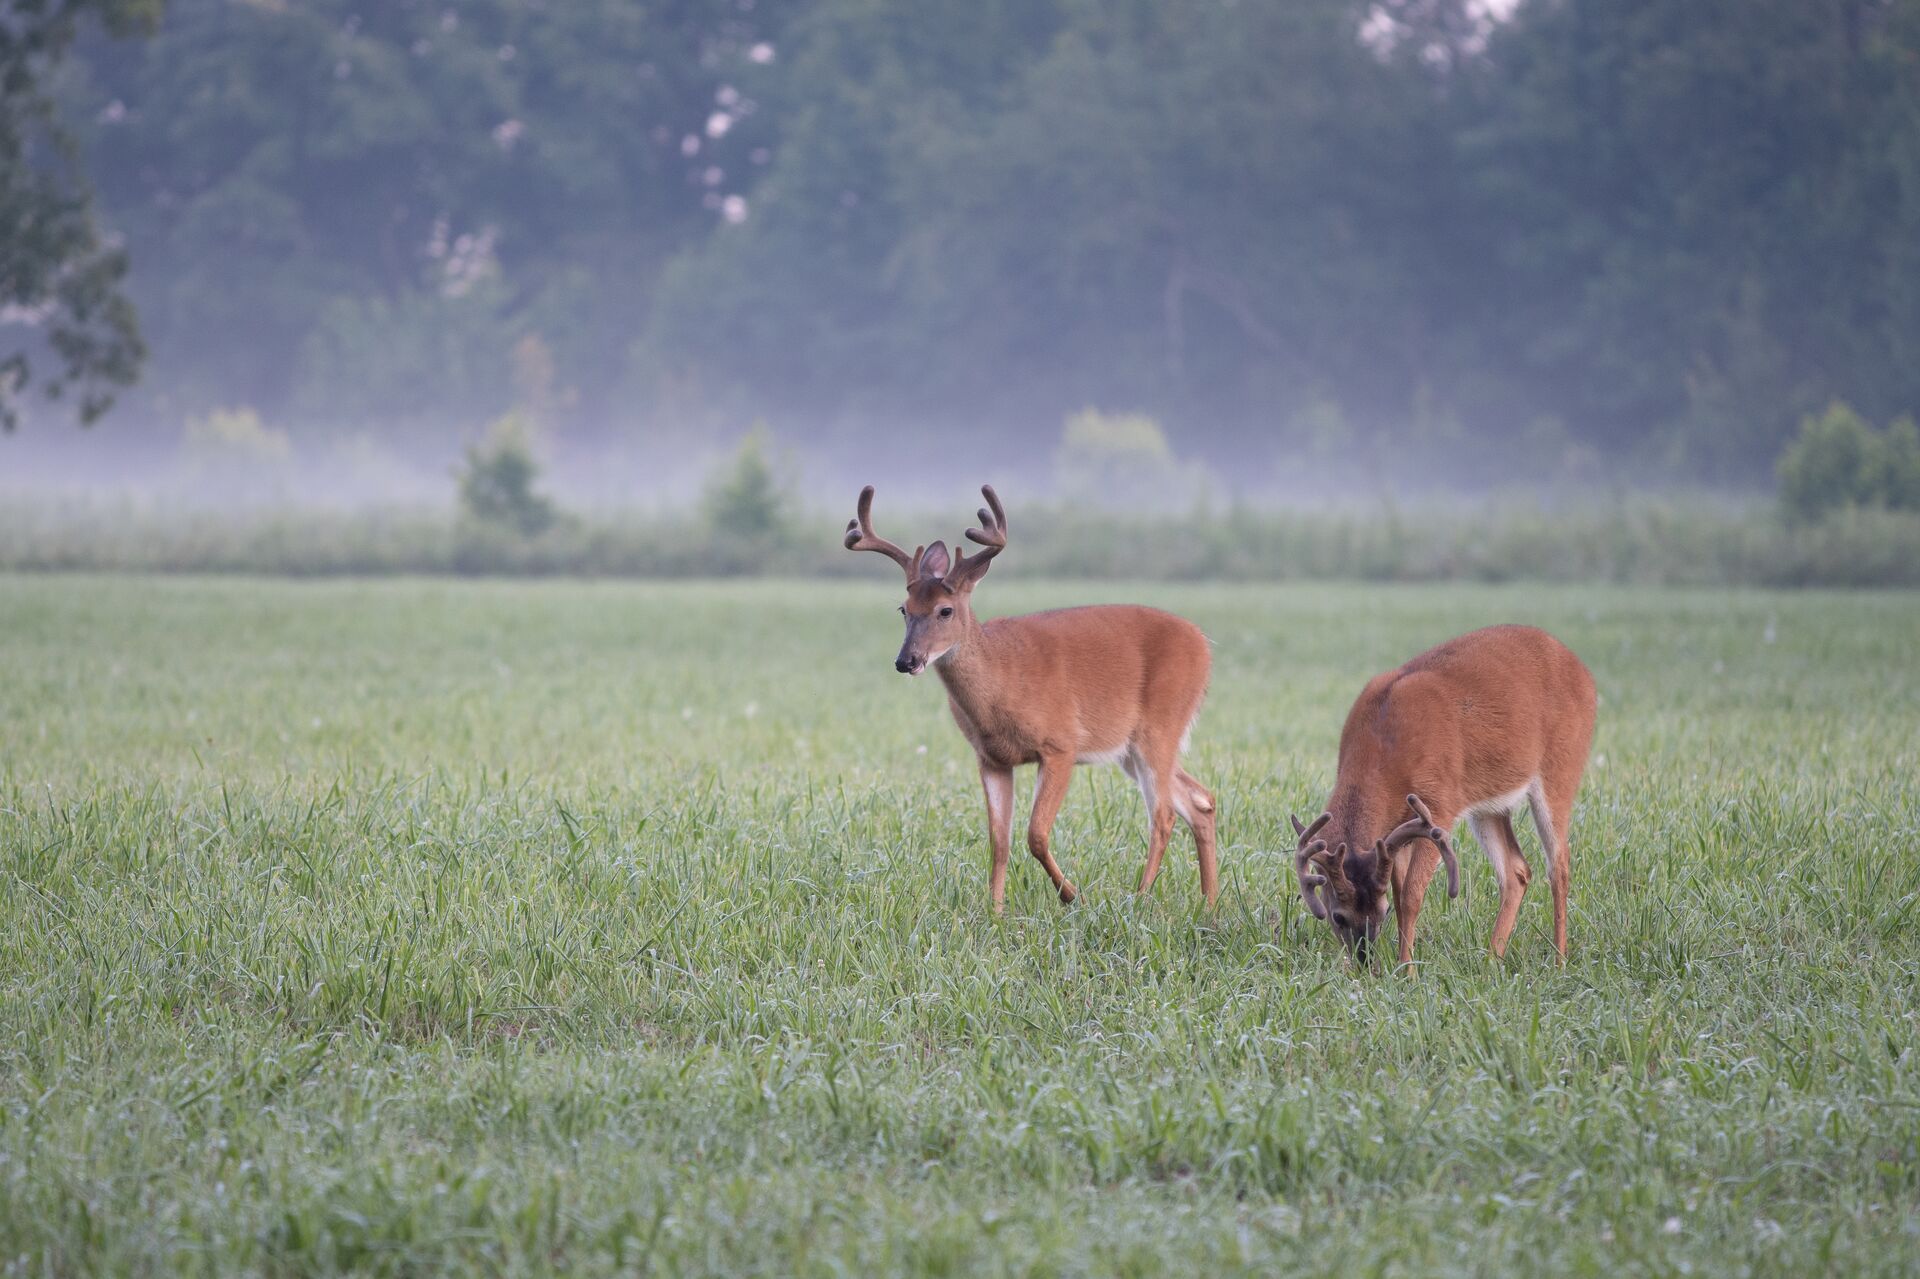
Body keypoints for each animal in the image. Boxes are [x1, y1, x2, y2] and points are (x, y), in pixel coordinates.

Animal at [848, 478, 1221, 906]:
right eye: (903, 609)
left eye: (945, 610)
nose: (906, 660)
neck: (1001, 683)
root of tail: (1204, 645)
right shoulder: (991, 758)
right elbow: (999, 841)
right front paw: (995, 909)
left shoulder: (1061, 744)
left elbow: (1036, 834)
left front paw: (1072, 896)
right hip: (1130, 751)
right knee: (1200, 801)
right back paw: (1210, 901)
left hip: (1160, 726)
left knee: (1163, 815)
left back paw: (1141, 897)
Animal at [1290, 622, 1605, 960]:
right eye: (1337, 916)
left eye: (1381, 913)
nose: (1364, 958)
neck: (1383, 748)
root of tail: (1584, 672)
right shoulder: (1396, 829)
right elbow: (1399, 892)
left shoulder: (1439, 806)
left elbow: (1411, 895)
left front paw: (1406, 968)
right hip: (1488, 805)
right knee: (1517, 870)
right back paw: (1491, 960)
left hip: (1560, 768)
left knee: (1559, 864)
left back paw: (1559, 960)